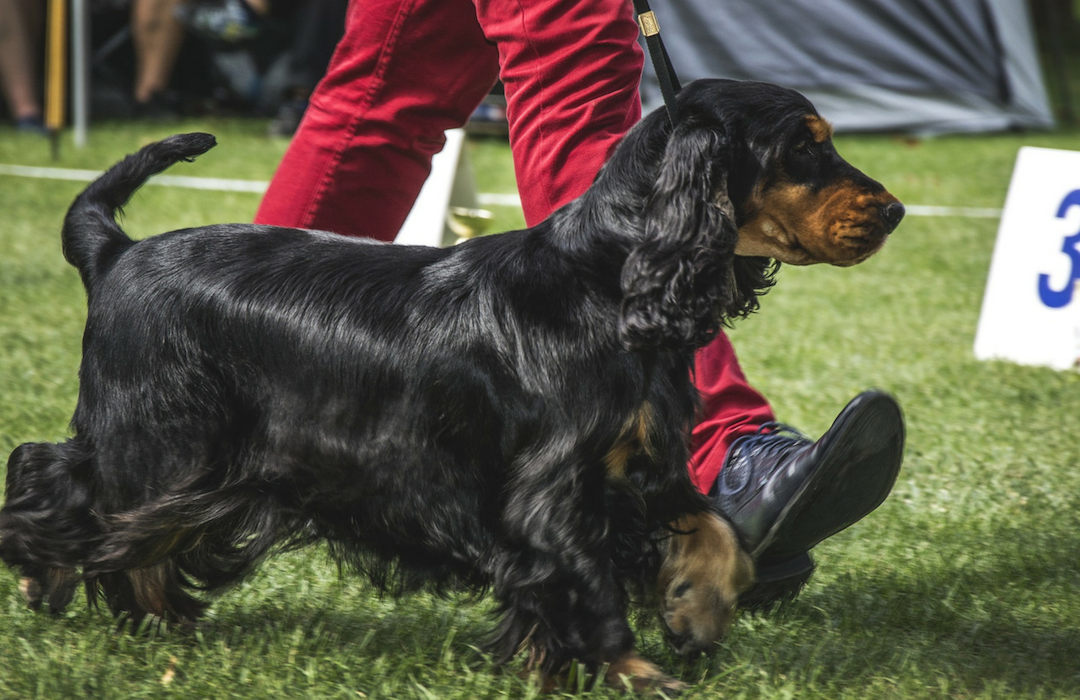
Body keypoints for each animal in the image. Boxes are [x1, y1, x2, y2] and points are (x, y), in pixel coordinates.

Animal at [0, 79, 902, 693]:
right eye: (804, 147)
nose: (894, 212)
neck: (606, 284)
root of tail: (116, 251)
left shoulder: (637, 468)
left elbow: (713, 530)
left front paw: (694, 606)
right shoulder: (547, 490)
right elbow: (589, 583)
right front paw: (635, 669)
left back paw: (156, 618)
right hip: (163, 440)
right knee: (56, 473)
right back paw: (49, 575)